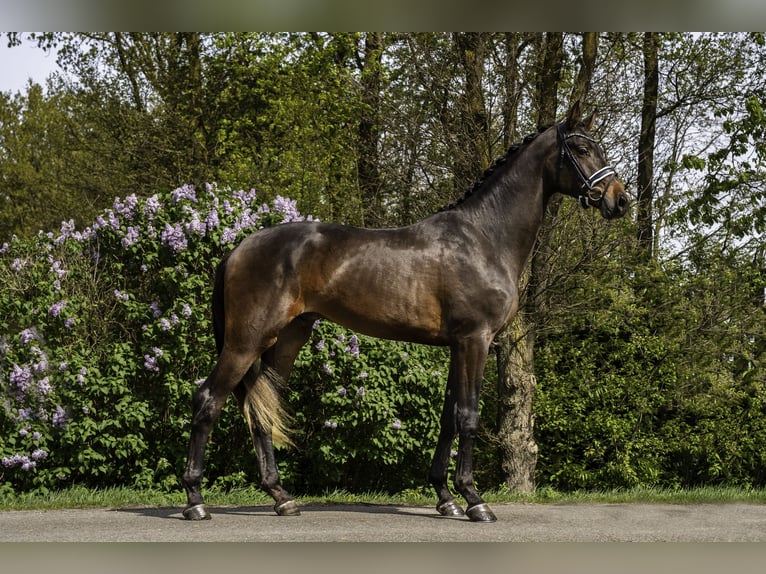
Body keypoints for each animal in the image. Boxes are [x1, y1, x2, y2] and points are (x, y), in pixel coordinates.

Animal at [182, 102, 632, 520]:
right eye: (580, 148)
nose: (620, 200)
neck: (484, 238)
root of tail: (238, 248)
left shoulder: (457, 346)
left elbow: (449, 418)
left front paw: (446, 498)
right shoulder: (476, 340)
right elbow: (469, 416)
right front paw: (474, 501)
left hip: (288, 337)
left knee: (260, 407)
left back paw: (281, 497)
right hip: (247, 340)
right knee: (208, 400)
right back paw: (195, 501)